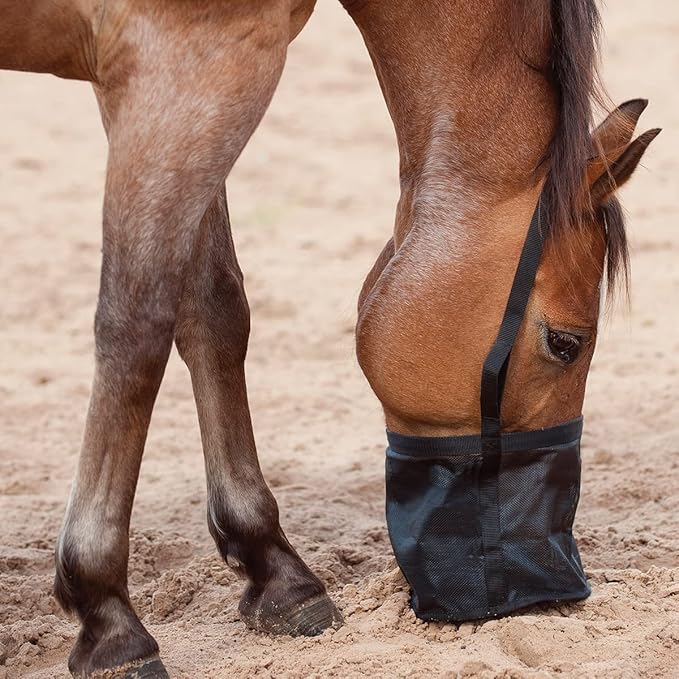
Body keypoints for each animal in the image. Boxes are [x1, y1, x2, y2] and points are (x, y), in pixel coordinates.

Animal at [0, 1, 658, 677]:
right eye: (565, 344)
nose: (550, 588)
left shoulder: (184, 80)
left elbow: (214, 307)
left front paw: (275, 569)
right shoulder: (185, 65)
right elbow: (136, 331)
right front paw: (106, 612)